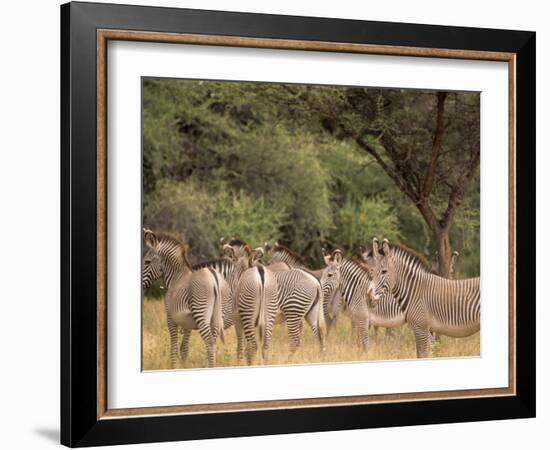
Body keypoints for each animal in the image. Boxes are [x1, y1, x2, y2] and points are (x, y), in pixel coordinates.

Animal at [142, 230, 231, 368]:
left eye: (147, 262)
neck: (176, 277)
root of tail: (213, 277)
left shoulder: (171, 318)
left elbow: (173, 348)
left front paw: (173, 367)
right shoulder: (187, 323)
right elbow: (184, 349)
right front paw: (184, 366)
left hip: (201, 313)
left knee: (210, 342)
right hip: (217, 316)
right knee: (214, 341)